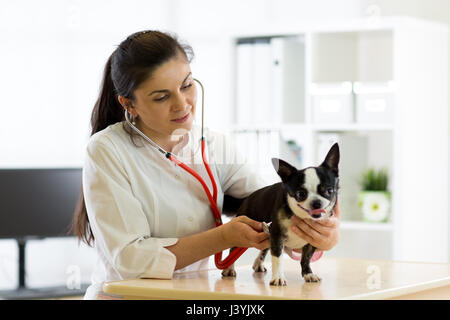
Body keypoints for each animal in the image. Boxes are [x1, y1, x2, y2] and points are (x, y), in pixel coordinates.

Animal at [221, 142, 342, 284]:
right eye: (300, 194)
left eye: (329, 191)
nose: (316, 202)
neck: (298, 216)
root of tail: (247, 198)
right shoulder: (277, 235)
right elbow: (278, 258)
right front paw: (278, 277)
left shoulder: (311, 241)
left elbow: (306, 258)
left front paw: (308, 274)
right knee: (232, 251)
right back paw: (229, 268)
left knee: (264, 248)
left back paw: (258, 263)